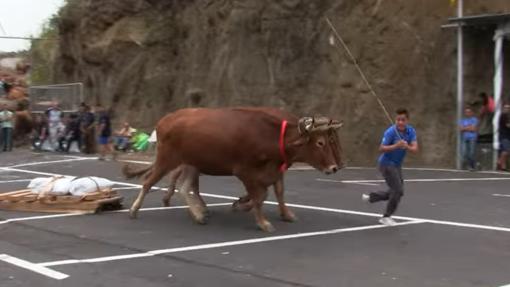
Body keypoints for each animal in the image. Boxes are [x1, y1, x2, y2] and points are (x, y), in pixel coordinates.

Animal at [124, 107, 342, 232]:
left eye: (331, 139)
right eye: (321, 142)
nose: (334, 167)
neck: (269, 136)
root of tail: (165, 120)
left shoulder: (275, 170)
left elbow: (277, 192)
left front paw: (286, 215)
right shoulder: (245, 171)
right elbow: (260, 197)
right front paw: (261, 222)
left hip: (191, 163)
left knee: (185, 187)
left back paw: (198, 214)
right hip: (167, 159)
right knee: (149, 182)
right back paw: (134, 209)